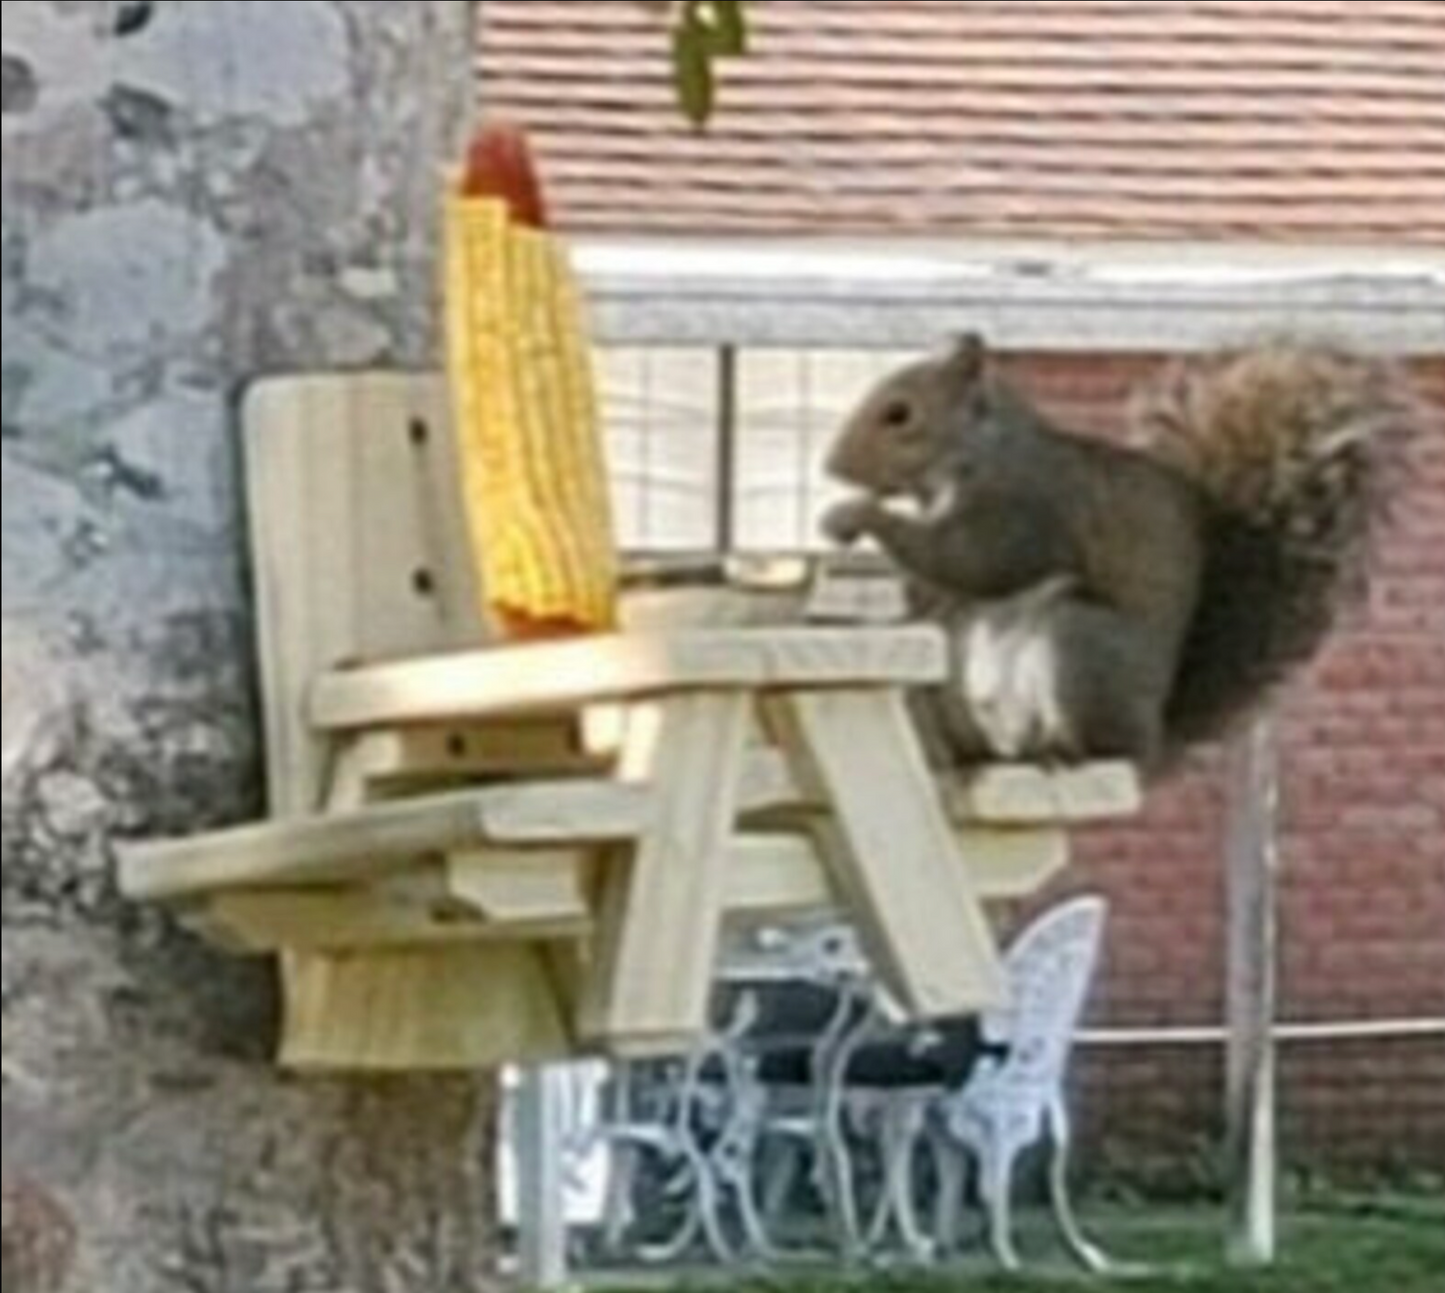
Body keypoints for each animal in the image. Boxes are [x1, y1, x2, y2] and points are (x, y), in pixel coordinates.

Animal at [826, 336, 1410, 780]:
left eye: (900, 414)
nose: (831, 466)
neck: (979, 452)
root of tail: (1156, 738)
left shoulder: (1029, 504)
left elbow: (978, 559)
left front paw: (860, 516)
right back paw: (985, 755)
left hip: (1083, 649)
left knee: (1106, 746)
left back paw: (1064, 752)